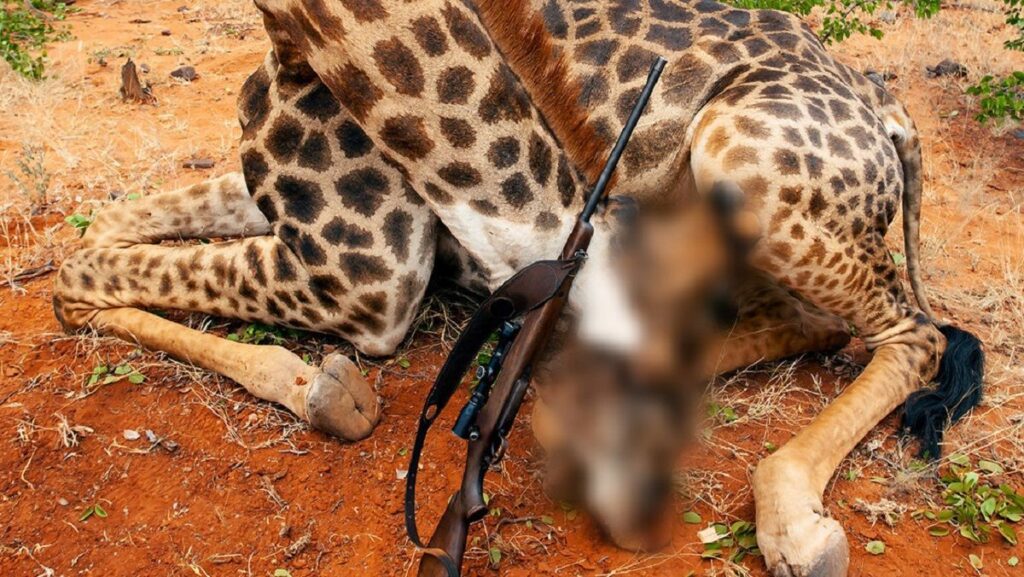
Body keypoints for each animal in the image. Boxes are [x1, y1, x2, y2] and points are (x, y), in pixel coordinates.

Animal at [51, 1, 985, 576]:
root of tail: (890, 112)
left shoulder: (363, 278)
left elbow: (80, 270)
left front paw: (327, 387)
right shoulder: (289, 215)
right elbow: (96, 238)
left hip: (739, 158)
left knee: (912, 331)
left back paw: (793, 526)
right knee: (813, 321)